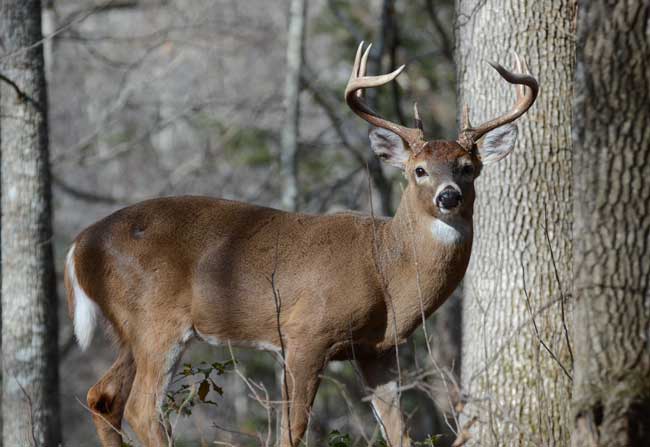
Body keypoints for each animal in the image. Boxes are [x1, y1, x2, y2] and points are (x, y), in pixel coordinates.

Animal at [64, 43, 536, 447]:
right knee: (141, 408)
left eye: (467, 167)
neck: (386, 269)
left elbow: (399, 432)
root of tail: (78, 245)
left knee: (102, 396)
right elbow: (291, 431)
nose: (448, 197)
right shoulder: (305, 333)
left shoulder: (378, 350)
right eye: (418, 169)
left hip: (129, 328)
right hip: (156, 319)